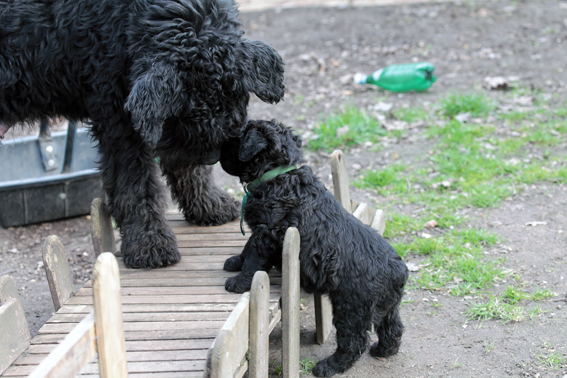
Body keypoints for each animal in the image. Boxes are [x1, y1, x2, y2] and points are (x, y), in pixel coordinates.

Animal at [0, 0, 284, 268]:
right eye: (187, 114)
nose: (213, 157)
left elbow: (190, 172)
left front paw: (209, 205)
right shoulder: (121, 122)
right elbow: (136, 185)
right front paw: (149, 242)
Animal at [220, 120, 410, 376]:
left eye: (236, 137)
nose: (216, 150)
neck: (278, 175)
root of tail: (399, 271)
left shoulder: (268, 232)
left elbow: (253, 258)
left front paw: (238, 282)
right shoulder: (261, 229)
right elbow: (246, 247)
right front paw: (234, 262)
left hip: (351, 307)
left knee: (354, 341)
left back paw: (328, 366)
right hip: (387, 305)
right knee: (393, 327)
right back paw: (383, 350)